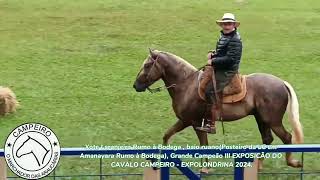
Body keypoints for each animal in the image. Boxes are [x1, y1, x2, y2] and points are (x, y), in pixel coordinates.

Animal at [133, 48, 304, 172]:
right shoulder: (185, 121)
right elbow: (167, 135)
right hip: (261, 119)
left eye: (147, 65)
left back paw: (293, 163)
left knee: (287, 137)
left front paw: (205, 169)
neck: (186, 85)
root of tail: (281, 83)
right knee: (268, 139)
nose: (136, 86)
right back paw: (259, 166)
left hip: (272, 121)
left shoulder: (195, 123)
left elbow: (203, 145)